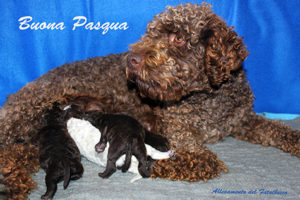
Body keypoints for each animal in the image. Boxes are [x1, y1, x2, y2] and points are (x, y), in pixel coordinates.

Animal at [0, 2, 298, 199]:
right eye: (152, 34)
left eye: (178, 37)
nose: (131, 59)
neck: (208, 97)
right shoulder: (187, 142)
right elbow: (200, 162)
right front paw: (141, 163)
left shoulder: (243, 120)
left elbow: (277, 130)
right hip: (28, 110)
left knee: (21, 152)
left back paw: (14, 179)